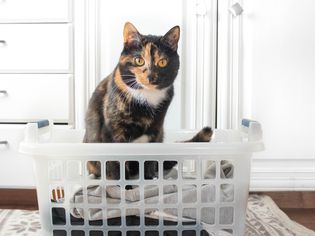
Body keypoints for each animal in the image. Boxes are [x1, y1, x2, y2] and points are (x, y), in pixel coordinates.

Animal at [84, 23, 214, 180]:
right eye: (139, 60)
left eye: (162, 62)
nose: (151, 76)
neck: (146, 97)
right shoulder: (112, 131)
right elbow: (117, 164)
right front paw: (121, 184)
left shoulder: (156, 130)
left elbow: (149, 161)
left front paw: (149, 180)